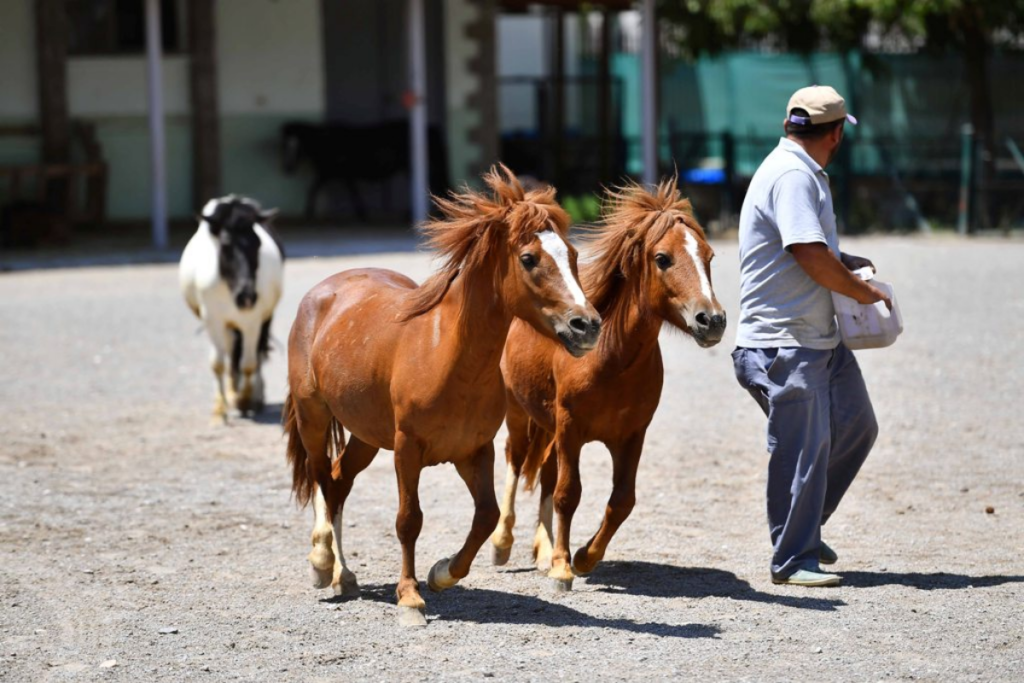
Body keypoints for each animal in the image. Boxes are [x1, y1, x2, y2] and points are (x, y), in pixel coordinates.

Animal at [282, 165, 598, 626]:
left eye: (573, 256)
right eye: (529, 259)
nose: (587, 325)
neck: (450, 358)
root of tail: (323, 291)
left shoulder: (474, 451)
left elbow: (486, 516)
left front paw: (442, 574)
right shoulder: (407, 448)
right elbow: (408, 520)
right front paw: (410, 598)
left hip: (365, 436)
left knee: (339, 483)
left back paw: (346, 576)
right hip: (314, 417)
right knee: (323, 479)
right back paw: (323, 565)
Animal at [489, 179, 724, 589]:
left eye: (709, 256)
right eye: (663, 258)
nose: (711, 320)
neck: (612, 361)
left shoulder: (630, 435)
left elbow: (622, 501)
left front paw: (583, 557)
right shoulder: (570, 429)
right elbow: (568, 494)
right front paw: (563, 567)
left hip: (549, 428)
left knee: (545, 474)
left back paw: (543, 550)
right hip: (519, 414)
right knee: (515, 462)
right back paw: (503, 544)